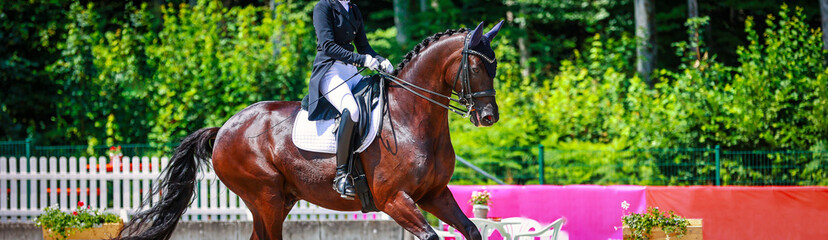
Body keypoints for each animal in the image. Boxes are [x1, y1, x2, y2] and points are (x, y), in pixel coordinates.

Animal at [119, 21, 502, 239]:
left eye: (495, 65)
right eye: (474, 66)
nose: (489, 117)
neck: (411, 118)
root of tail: (226, 127)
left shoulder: (434, 194)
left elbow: (471, 229)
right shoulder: (394, 199)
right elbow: (430, 235)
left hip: (279, 200)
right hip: (267, 199)